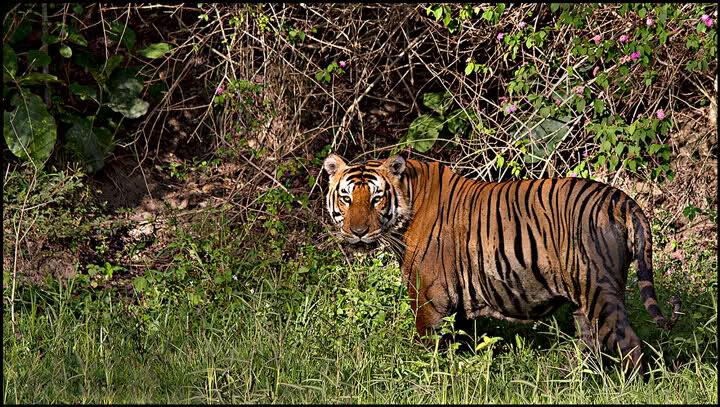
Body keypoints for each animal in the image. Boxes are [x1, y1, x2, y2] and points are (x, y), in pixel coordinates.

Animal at [322, 154, 680, 376]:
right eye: (346, 198)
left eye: (376, 198)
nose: (358, 232)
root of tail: (624, 200)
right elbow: (458, 346)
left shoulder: (428, 298)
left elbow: (429, 350)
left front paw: (427, 378)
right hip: (585, 299)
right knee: (590, 345)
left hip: (599, 289)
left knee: (629, 345)